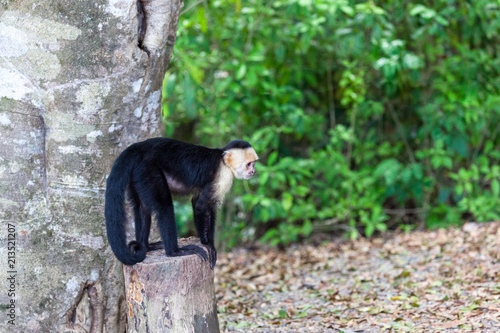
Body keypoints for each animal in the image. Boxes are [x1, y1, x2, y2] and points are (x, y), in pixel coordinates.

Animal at [106, 136, 262, 268]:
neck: (223, 160)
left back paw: (146, 246)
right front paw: (208, 244)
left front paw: (209, 242)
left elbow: (198, 201)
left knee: (143, 208)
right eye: (249, 164)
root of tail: (140, 147)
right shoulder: (223, 175)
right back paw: (174, 252)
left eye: (253, 164)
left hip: (138, 173)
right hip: (147, 169)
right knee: (164, 206)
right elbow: (202, 205)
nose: (253, 171)